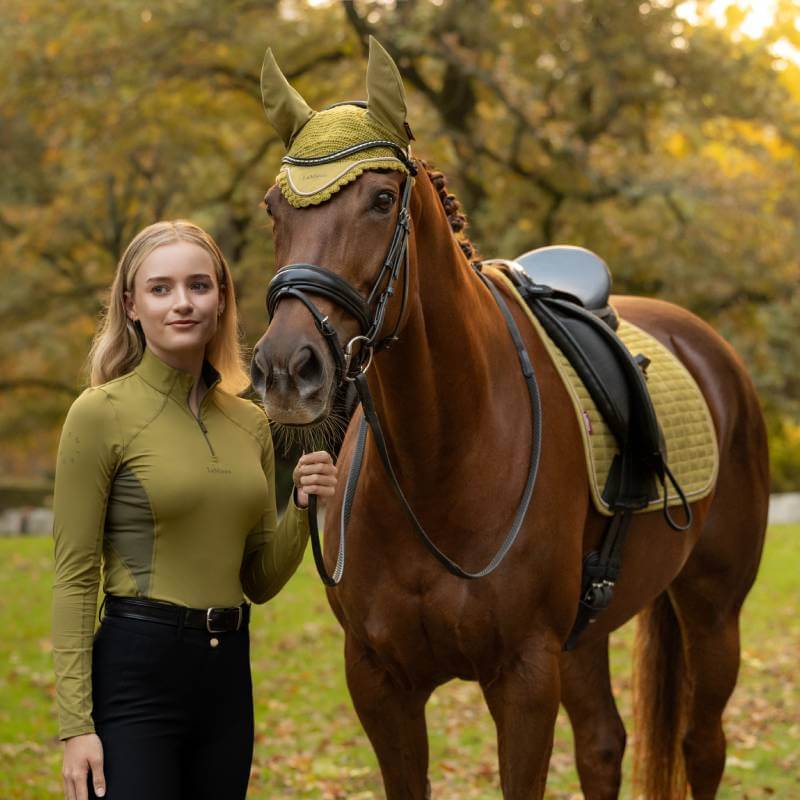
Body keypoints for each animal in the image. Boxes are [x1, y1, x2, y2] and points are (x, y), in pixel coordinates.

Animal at [250, 38, 769, 800]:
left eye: (381, 200)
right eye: (273, 209)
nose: (287, 369)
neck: (443, 456)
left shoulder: (523, 678)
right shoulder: (379, 683)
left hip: (713, 610)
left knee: (702, 746)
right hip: (586, 637)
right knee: (603, 744)